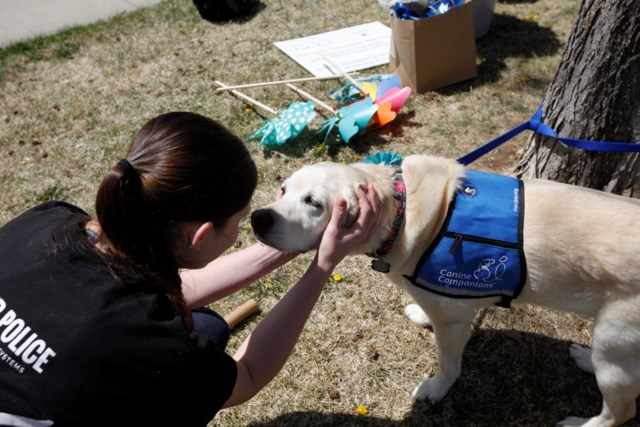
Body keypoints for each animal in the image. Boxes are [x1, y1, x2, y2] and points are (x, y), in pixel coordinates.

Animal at [250, 155, 640, 427]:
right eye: (283, 190)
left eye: (314, 203)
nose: (258, 217)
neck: (403, 211)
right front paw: (420, 314)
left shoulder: (452, 321)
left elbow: (449, 364)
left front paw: (435, 389)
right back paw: (585, 358)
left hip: (615, 340)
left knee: (619, 412)